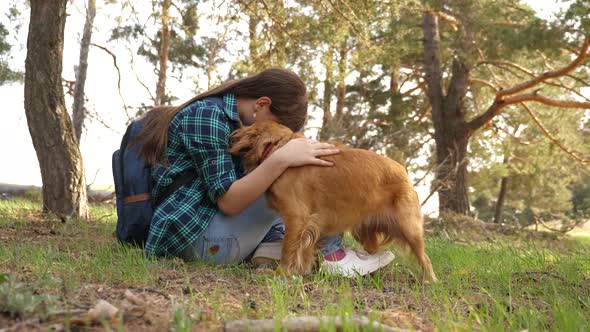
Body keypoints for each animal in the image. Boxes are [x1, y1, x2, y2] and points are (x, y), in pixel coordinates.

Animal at [231, 120, 440, 282]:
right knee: (374, 250)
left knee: (425, 258)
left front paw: (281, 274)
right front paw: (299, 273)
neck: (279, 147)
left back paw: (429, 280)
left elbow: (288, 250)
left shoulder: (296, 217)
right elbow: (304, 251)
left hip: (409, 228)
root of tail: (404, 173)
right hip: (364, 232)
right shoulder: (310, 224)